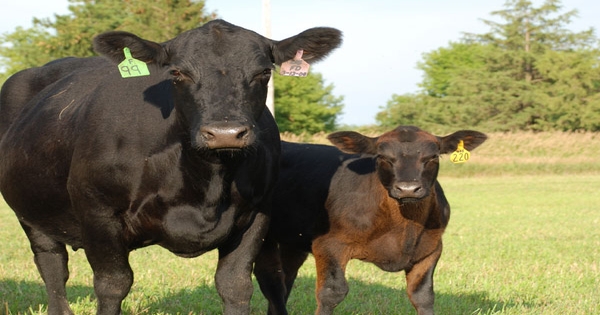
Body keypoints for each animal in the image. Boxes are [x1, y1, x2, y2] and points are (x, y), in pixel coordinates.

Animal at [0, 20, 342, 315]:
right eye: (178, 72)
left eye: (262, 72)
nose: (225, 133)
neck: (205, 185)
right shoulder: (98, 211)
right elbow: (113, 285)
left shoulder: (257, 213)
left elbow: (235, 285)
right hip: (30, 212)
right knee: (52, 265)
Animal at [254, 126, 488, 315]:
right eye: (383, 157)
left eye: (433, 156)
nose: (408, 188)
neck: (403, 229)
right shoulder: (327, 245)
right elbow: (331, 292)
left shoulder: (431, 249)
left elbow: (423, 295)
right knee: (271, 280)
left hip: (292, 239)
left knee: (286, 275)